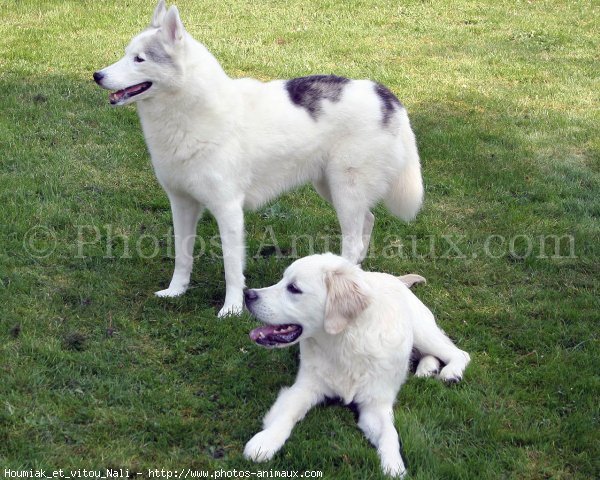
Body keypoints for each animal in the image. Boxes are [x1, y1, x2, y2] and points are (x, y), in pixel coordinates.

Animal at [94, 1, 424, 316]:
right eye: (126, 54)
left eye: (139, 59)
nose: (97, 76)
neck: (189, 113)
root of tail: (384, 94)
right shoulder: (182, 204)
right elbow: (182, 256)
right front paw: (176, 291)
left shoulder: (228, 210)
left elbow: (231, 268)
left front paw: (231, 309)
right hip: (331, 188)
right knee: (368, 221)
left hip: (346, 191)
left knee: (353, 240)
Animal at [241, 253, 472, 478]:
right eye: (282, 280)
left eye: (294, 288)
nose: (247, 294)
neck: (343, 344)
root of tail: (394, 278)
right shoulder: (305, 387)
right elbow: (286, 413)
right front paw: (264, 442)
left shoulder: (375, 404)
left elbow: (390, 433)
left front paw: (394, 466)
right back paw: (426, 369)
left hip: (422, 331)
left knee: (459, 353)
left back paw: (450, 372)